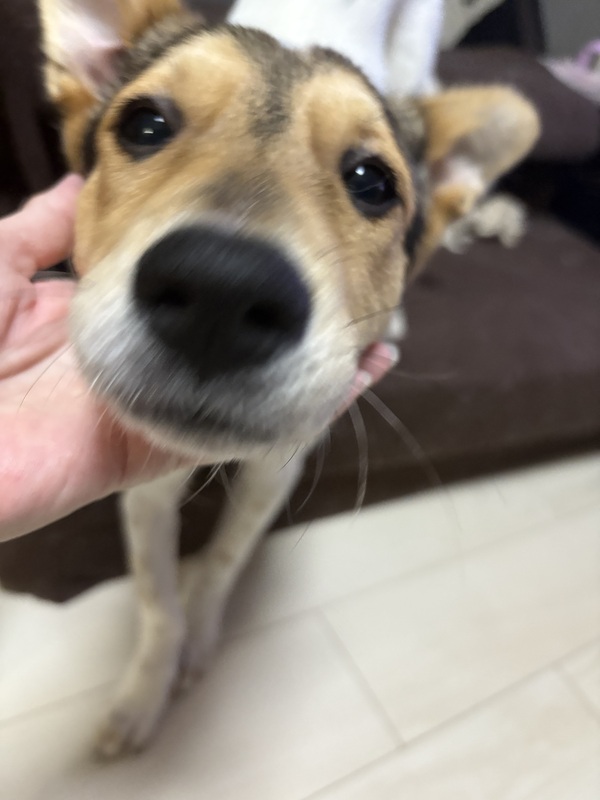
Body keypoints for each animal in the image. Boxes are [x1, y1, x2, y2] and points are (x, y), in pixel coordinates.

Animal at [39, 0, 539, 757]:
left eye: (372, 181)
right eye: (143, 125)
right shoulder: (146, 486)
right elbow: (157, 601)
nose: (220, 290)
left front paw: (198, 643)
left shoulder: (277, 469)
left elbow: (222, 559)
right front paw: (142, 696)